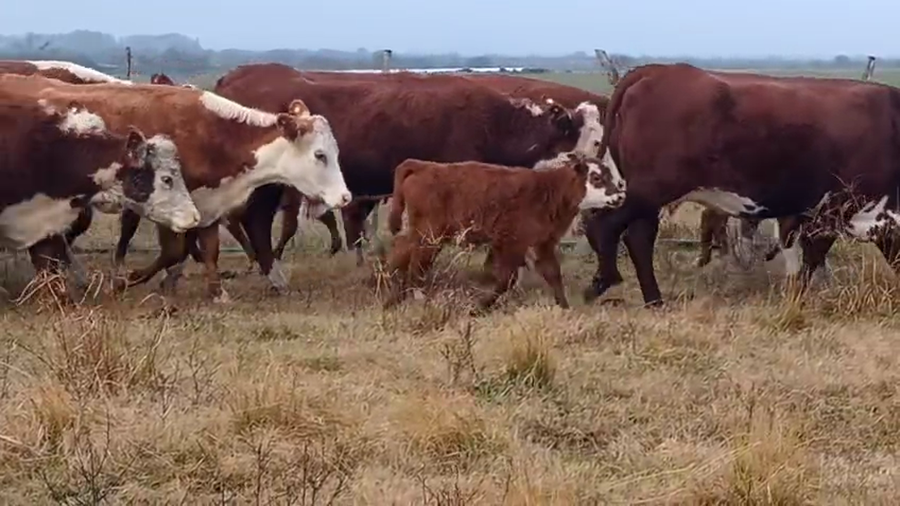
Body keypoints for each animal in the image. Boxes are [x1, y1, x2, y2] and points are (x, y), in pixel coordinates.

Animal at [383, 154, 626, 312]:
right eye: (596, 177)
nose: (620, 195)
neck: (548, 191)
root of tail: (423, 167)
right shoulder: (511, 244)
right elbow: (506, 280)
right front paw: (481, 307)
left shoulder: (541, 244)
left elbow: (553, 275)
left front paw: (565, 307)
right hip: (430, 235)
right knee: (416, 263)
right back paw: (416, 297)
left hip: (422, 233)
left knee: (400, 251)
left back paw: (392, 297)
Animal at [583, 63, 900, 307]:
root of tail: (657, 70)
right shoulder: (832, 209)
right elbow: (811, 257)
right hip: (650, 189)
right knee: (608, 226)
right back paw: (603, 282)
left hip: (645, 194)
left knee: (637, 236)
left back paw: (653, 299)